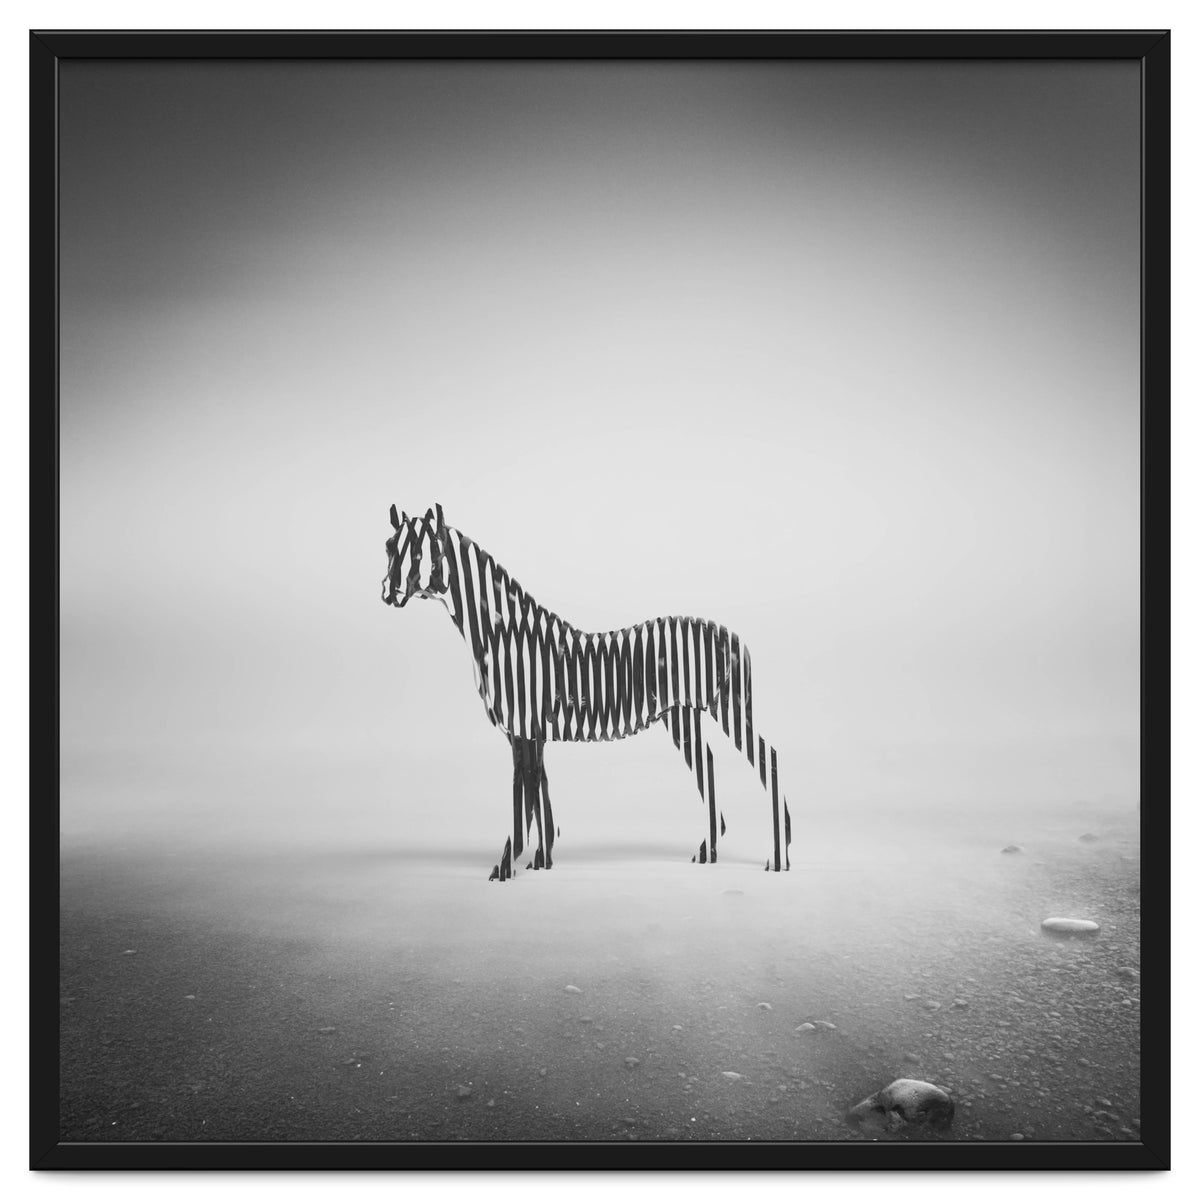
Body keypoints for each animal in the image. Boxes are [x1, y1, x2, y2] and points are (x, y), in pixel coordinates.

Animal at [381, 503, 792, 880]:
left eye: (420, 553)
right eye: (388, 547)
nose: (387, 592)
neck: (505, 636)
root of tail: (733, 636)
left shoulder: (522, 728)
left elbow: (523, 799)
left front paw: (506, 866)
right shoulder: (531, 731)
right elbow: (539, 794)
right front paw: (541, 860)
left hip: (728, 708)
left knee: (768, 758)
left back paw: (778, 857)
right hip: (682, 716)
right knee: (708, 763)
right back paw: (709, 851)